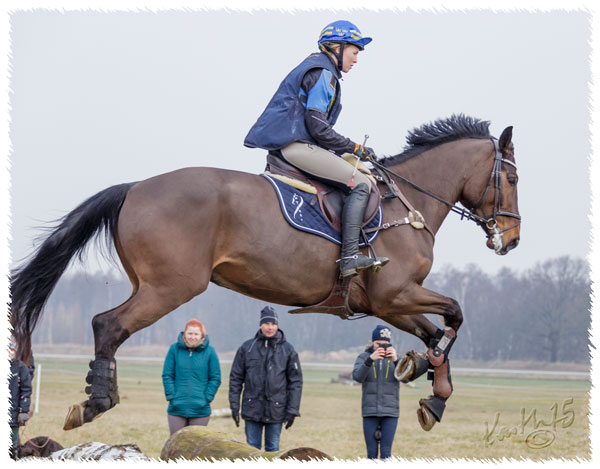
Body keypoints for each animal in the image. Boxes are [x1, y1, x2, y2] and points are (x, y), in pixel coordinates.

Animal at [8, 115, 520, 430]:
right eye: (512, 179)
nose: (511, 240)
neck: (408, 205)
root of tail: (135, 187)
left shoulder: (386, 302)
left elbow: (438, 333)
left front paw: (431, 390)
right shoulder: (396, 294)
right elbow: (455, 314)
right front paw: (429, 380)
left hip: (151, 284)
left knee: (108, 324)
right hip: (170, 287)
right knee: (107, 324)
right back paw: (96, 402)